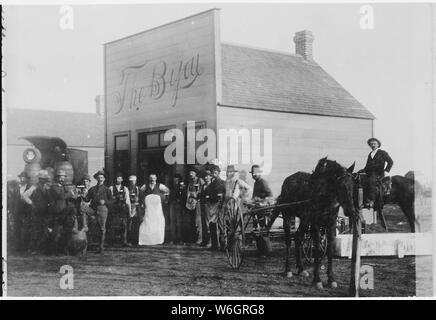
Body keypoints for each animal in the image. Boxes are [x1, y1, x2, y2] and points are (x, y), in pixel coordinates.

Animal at [270, 159, 358, 288]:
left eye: (353, 185)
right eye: (341, 186)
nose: (351, 211)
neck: (324, 195)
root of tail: (287, 181)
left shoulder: (331, 224)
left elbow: (329, 250)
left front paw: (331, 279)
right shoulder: (316, 225)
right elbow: (316, 250)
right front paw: (317, 279)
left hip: (305, 220)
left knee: (298, 237)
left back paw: (301, 269)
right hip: (287, 216)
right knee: (288, 241)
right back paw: (288, 270)